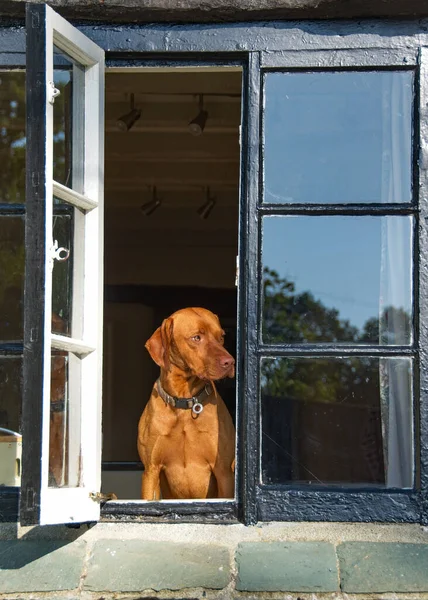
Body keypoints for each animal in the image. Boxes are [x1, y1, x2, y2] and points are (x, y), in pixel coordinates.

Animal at [137, 308, 236, 500]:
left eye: (221, 337)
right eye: (196, 337)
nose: (230, 362)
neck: (184, 401)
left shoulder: (224, 472)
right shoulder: (151, 470)